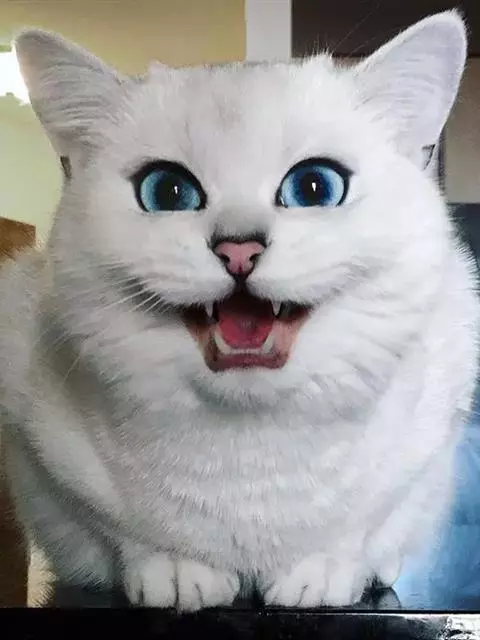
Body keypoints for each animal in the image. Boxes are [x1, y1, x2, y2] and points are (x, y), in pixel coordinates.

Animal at [0, 10, 478, 610]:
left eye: (315, 186)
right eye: (167, 191)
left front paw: (322, 571)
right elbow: (123, 527)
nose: (238, 250)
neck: (251, 460)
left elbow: (363, 522)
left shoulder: (432, 426)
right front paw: (178, 572)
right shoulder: (41, 431)